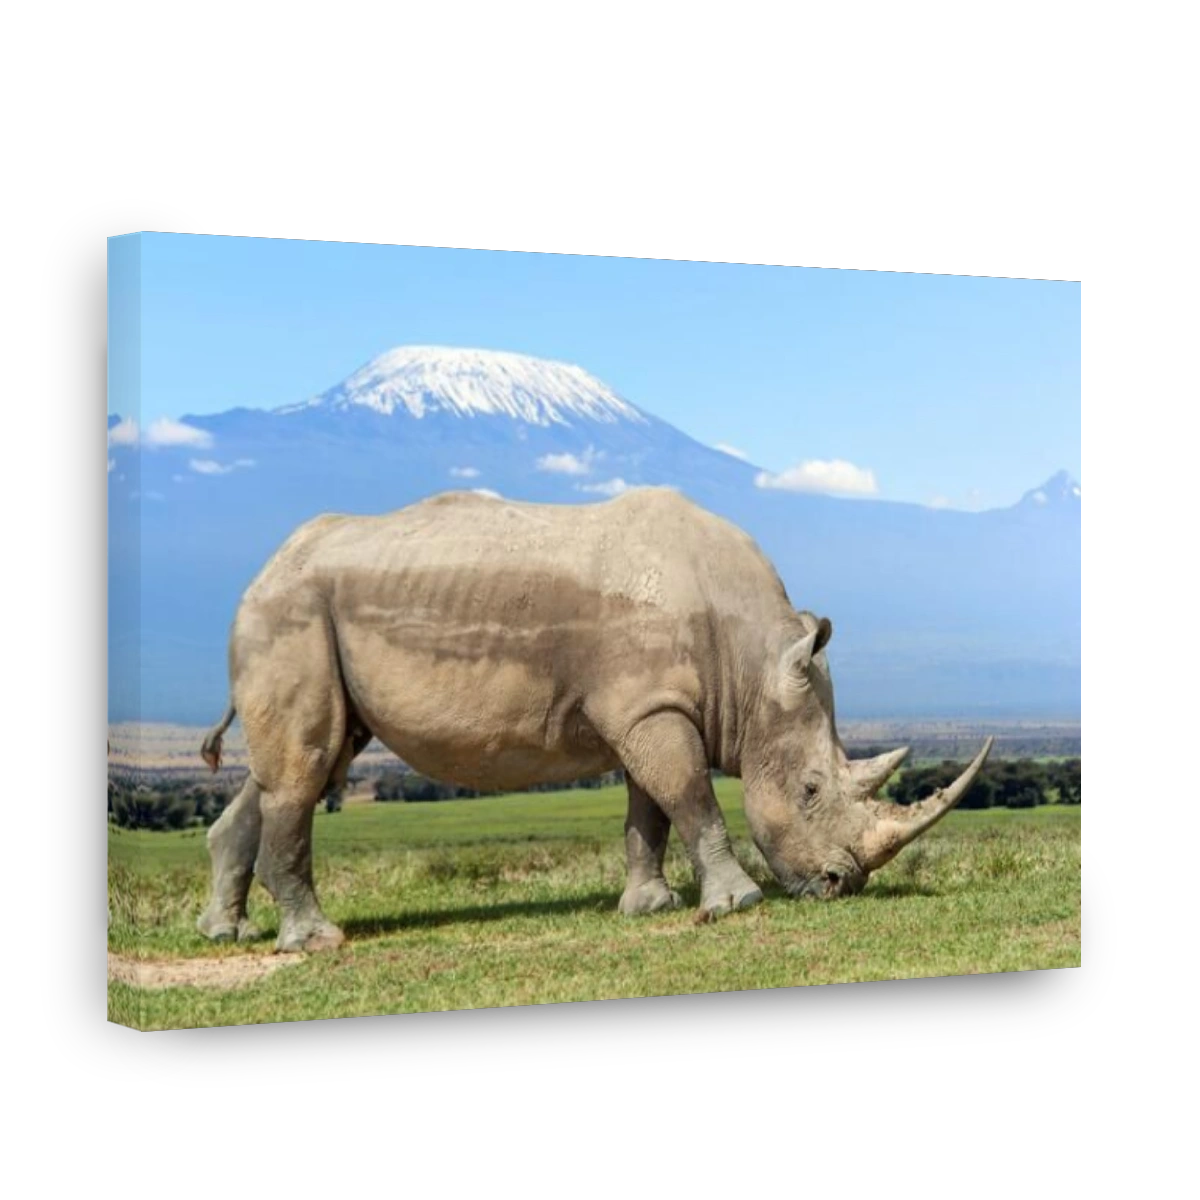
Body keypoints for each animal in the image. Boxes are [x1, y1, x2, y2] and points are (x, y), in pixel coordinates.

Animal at [197, 487, 993, 953]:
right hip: (290, 612)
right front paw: (735, 903)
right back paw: (315, 942)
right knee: (306, 766)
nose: (840, 885)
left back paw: (226, 933)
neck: (752, 661)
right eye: (810, 792)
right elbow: (691, 797)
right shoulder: (653, 708)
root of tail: (261, 572)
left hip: (304, 615)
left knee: (300, 764)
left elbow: (651, 809)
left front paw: (648, 905)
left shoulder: (651, 707)